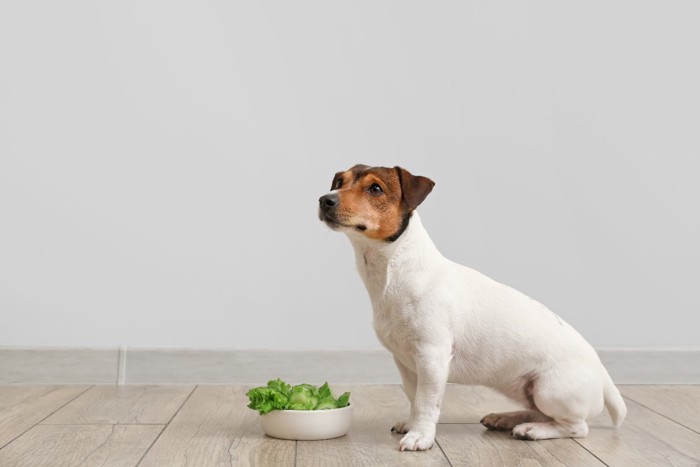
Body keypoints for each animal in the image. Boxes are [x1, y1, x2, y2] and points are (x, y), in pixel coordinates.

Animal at [320, 165, 628, 454]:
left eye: (375, 189)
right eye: (339, 181)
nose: (325, 199)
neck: (394, 271)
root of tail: (602, 372)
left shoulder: (432, 357)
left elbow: (426, 402)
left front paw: (421, 436)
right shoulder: (405, 362)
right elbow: (413, 397)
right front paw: (412, 424)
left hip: (549, 389)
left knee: (575, 426)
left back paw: (533, 430)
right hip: (525, 389)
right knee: (543, 413)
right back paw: (508, 418)